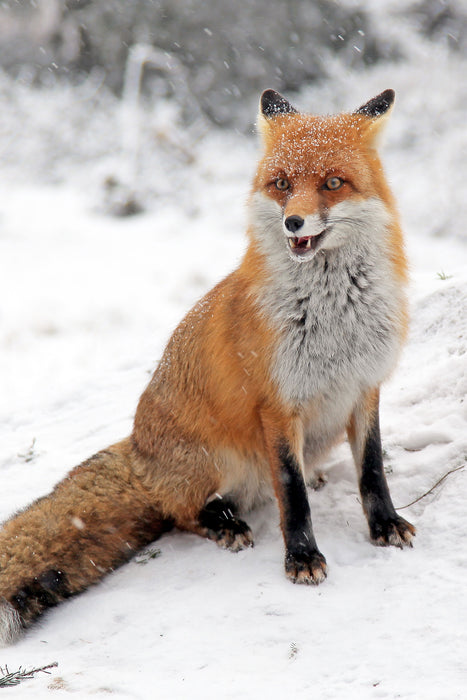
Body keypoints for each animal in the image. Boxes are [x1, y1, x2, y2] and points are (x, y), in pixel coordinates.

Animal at [0, 90, 416, 644]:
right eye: (281, 184)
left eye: (332, 183)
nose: (293, 222)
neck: (333, 319)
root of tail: (137, 450)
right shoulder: (277, 407)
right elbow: (292, 495)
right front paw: (302, 557)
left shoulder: (364, 387)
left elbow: (371, 471)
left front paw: (385, 525)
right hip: (218, 460)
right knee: (181, 512)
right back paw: (224, 523)